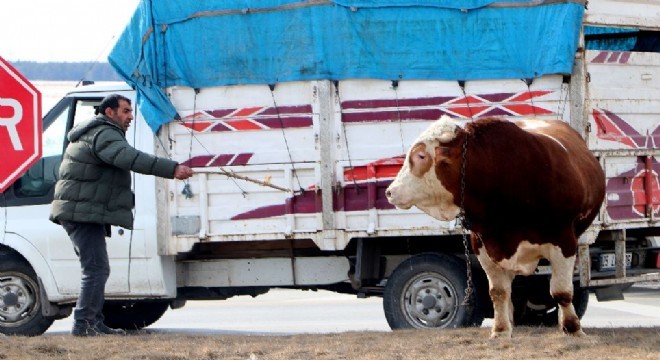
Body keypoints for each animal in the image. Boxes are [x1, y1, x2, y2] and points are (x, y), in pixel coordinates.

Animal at [384, 115, 604, 338]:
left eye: (421, 156)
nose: (390, 191)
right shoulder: (482, 244)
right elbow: (498, 292)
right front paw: (500, 330)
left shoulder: (564, 241)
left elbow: (562, 291)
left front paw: (573, 328)